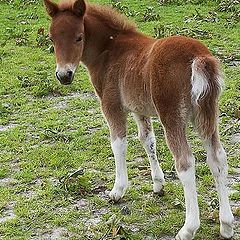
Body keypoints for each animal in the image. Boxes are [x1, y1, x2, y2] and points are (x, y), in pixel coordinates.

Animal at [44, 0, 233, 239]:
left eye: (79, 37)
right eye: (51, 39)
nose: (64, 75)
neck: (110, 51)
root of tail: (199, 57)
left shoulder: (112, 107)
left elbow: (118, 144)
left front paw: (118, 190)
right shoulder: (139, 110)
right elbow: (147, 141)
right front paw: (158, 184)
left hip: (172, 118)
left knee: (185, 163)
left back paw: (188, 228)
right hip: (207, 116)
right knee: (218, 159)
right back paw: (226, 225)